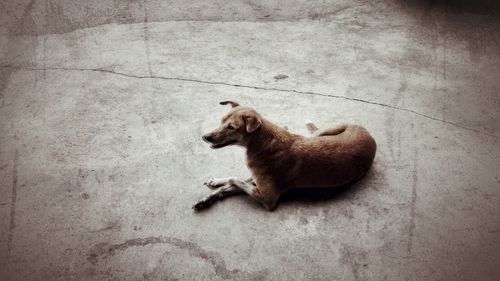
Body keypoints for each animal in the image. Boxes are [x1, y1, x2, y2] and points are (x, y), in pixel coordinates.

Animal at [194, 100, 376, 210]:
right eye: (221, 121)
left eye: (231, 127)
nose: (205, 137)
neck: (262, 143)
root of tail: (370, 136)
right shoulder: (256, 178)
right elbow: (232, 182)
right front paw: (212, 191)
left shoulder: (268, 197)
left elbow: (234, 180)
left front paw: (219, 189)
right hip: (323, 132)